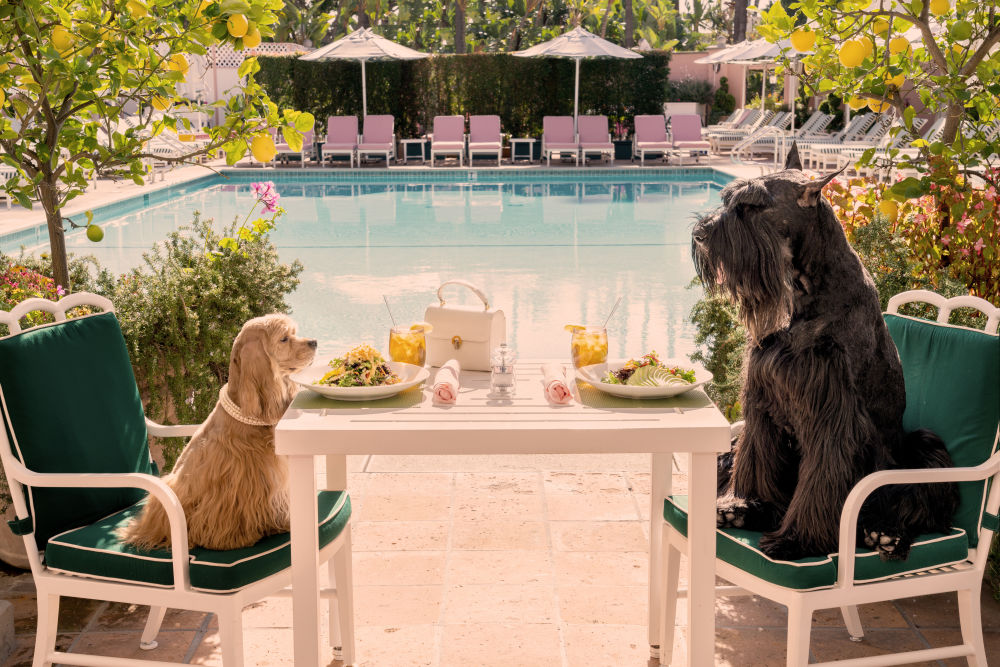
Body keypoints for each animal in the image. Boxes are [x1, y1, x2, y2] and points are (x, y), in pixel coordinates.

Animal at [692, 146, 956, 564]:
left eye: (752, 205)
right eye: (728, 199)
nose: (700, 235)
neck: (806, 292)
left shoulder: (833, 414)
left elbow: (821, 480)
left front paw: (796, 540)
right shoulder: (764, 401)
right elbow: (756, 458)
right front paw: (748, 505)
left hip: (923, 445)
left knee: (919, 507)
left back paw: (885, 534)